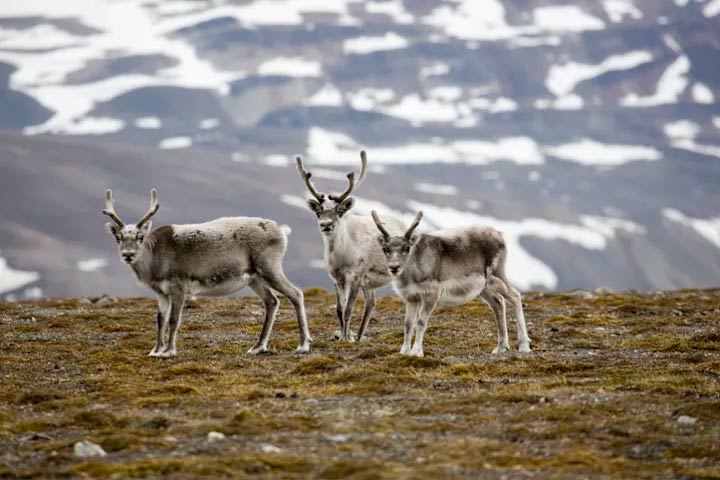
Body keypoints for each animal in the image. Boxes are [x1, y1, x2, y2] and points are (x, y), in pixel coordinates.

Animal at [102, 188, 311, 357]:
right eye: (119, 237)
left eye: (140, 237)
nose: (127, 254)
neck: (154, 258)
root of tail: (281, 232)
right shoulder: (161, 292)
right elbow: (160, 320)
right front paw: (155, 350)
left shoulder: (178, 287)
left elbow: (173, 319)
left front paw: (168, 351)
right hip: (254, 278)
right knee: (272, 301)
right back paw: (258, 347)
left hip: (269, 268)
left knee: (296, 293)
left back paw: (303, 345)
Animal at [295, 151, 406, 342]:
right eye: (318, 212)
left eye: (340, 211)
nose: (326, 224)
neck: (341, 256)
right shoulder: (336, 278)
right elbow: (340, 309)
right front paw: (343, 337)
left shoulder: (356, 275)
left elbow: (348, 309)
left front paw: (346, 339)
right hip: (368, 283)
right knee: (371, 303)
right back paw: (360, 336)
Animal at [371, 210, 531, 357]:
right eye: (385, 249)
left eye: (407, 248)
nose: (394, 267)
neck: (412, 271)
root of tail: (500, 235)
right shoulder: (411, 298)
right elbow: (408, 324)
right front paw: (404, 351)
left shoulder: (431, 294)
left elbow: (421, 322)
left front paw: (416, 352)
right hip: (484, 288)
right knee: (499, 303)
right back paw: (501, 347)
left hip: (497, 275)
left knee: (515, 296)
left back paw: (524, 345)